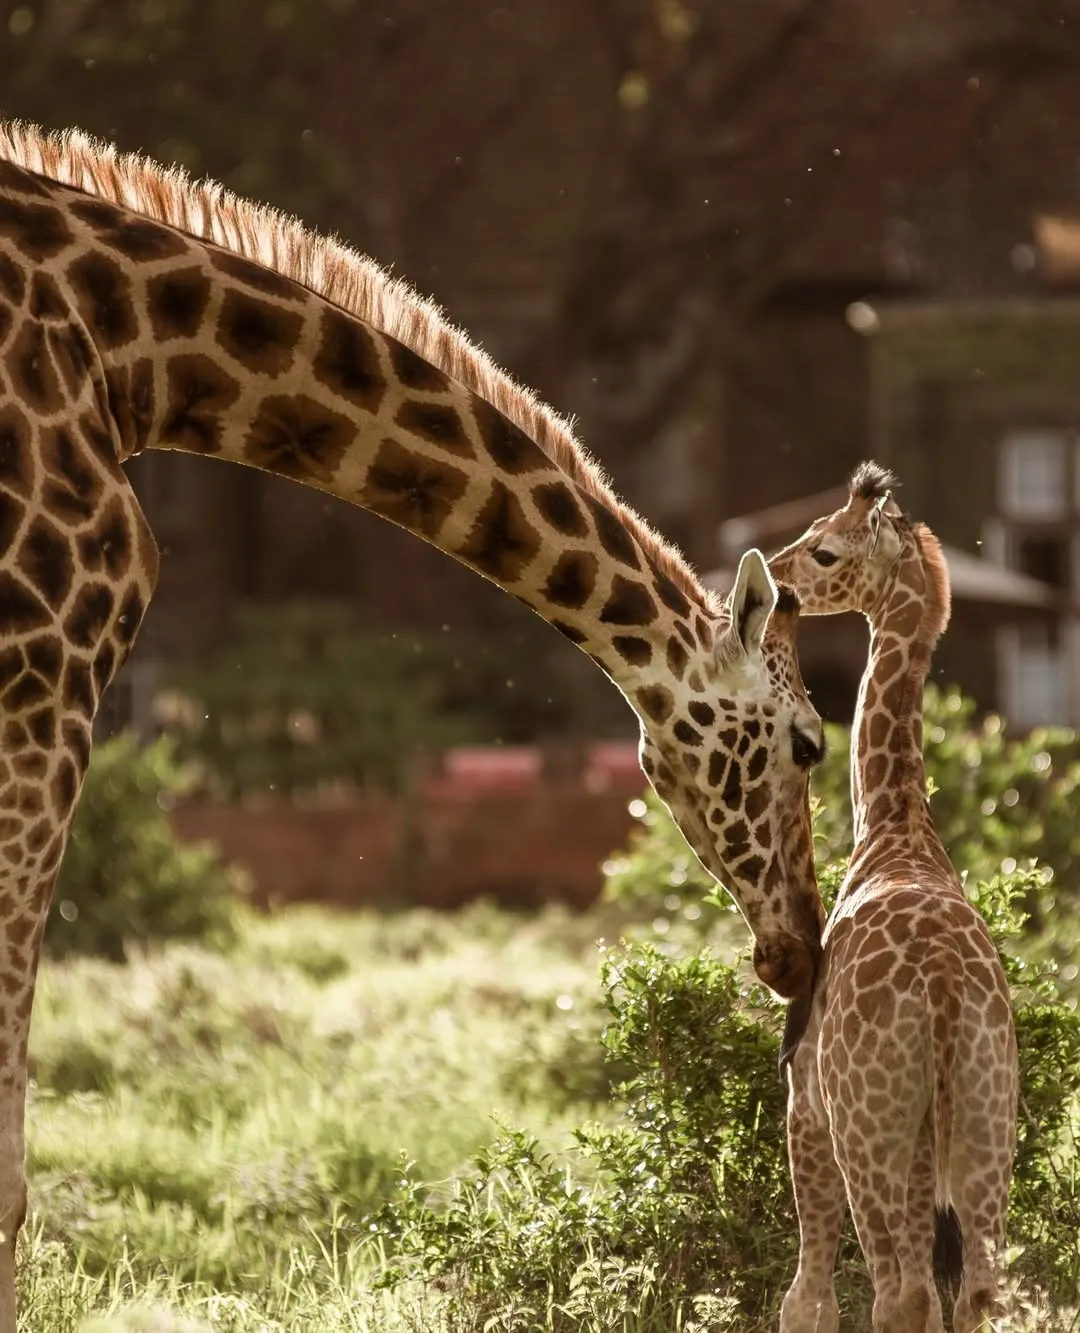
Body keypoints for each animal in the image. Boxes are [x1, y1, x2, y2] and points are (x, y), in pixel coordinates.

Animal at [767, 462, 1018, 1333]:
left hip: (869, 1129)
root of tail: (942, 996)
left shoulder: (806, 1100)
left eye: (825, 549)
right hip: (983, 1121)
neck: (897, 825)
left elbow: (807, 1295)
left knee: (895, 1288)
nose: (776, 582)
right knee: (975, 1288)